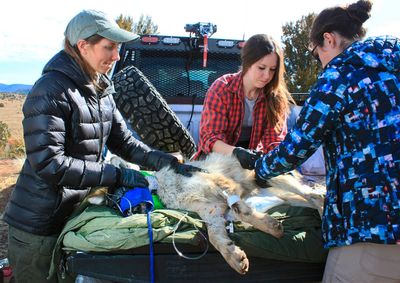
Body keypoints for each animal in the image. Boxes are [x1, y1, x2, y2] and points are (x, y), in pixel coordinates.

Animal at [88, 153, 324, 276]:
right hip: (279, 194)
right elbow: (215, 237)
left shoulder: (223, 185)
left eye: (123, 193)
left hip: (271, 177)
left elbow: (240, 210)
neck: (162, 188)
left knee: (315, 195)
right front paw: (233, 256)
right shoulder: (212, 211)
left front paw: (270, 227)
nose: (133, 212)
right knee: (310, 199)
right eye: (119, 207)